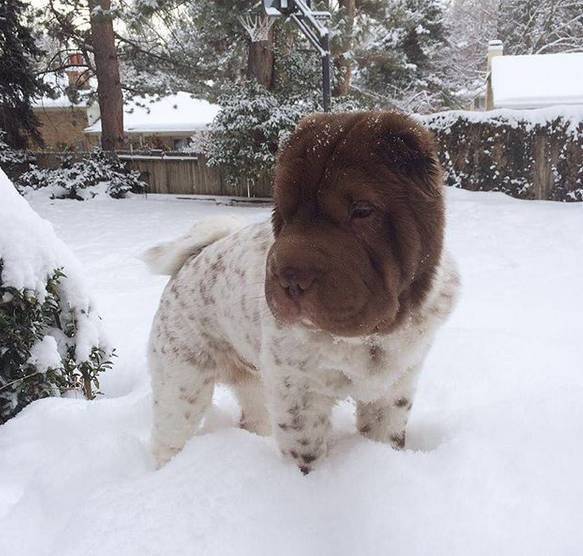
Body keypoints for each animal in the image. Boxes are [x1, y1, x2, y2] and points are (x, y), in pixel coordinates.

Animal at [146, 111, 460, 472]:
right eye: (284, 211)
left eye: (362, 211)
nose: (289, 278)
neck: (370, 339)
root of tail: (189, 261)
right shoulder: (298, 394)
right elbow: (306, 454)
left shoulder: (396, 387)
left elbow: (387, 437)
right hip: (181, 385)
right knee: (168, 440)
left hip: (254, 381)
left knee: (253, 417)